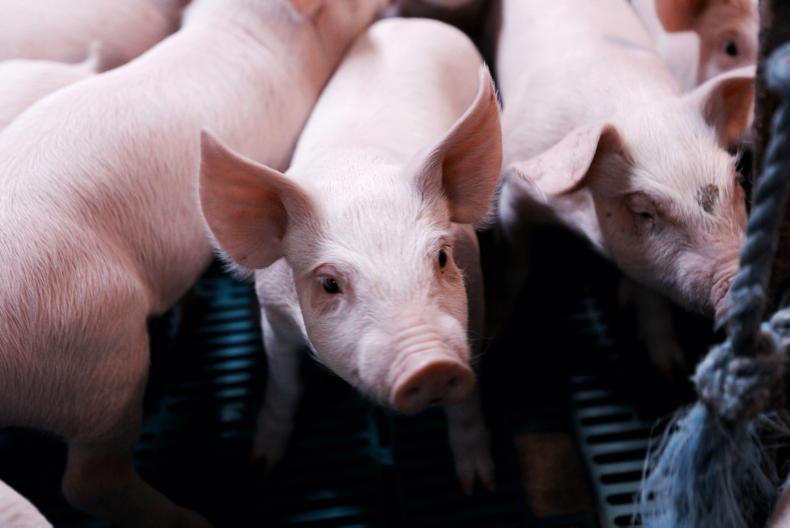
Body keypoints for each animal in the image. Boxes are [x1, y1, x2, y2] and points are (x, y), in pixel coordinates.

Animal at [199, 18, 503, 492]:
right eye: (329, 283)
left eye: (440, 258)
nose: (432, 364)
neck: (354, 170)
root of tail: (412, 20)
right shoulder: (272, 315)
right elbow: (284, 385)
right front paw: (260, 465)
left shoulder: (473, 303)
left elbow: (467, 397)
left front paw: (480, 487)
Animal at [493, 0, 754, 328]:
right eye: (642, 211)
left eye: (738, 180)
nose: (738, 285)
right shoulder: (514, 193)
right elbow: (516, 263)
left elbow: (651, 307)